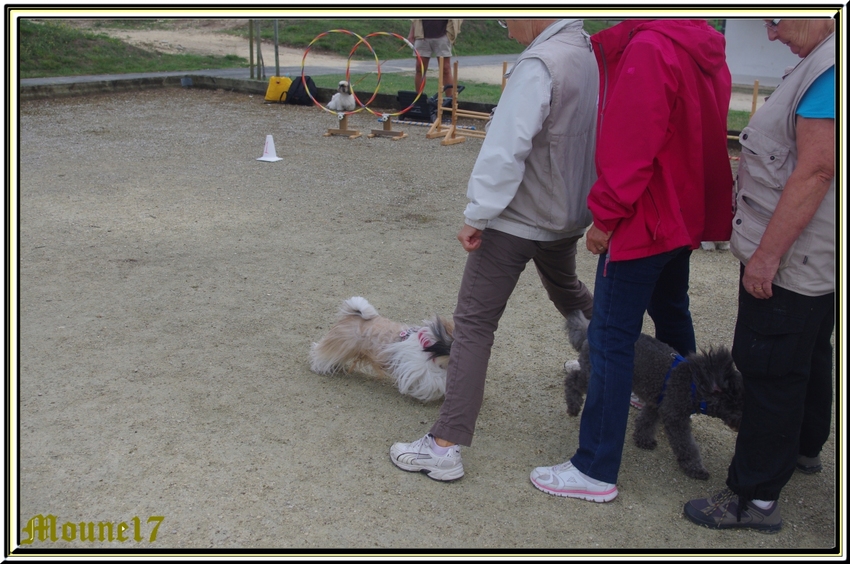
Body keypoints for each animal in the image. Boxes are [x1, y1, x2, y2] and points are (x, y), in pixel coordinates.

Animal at [310, 298, 454, 404]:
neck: (431, 344)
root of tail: (353, 314)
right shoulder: (419, 369)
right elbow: (438, 379)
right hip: (340, 345)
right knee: (321, 352)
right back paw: (319, 365)